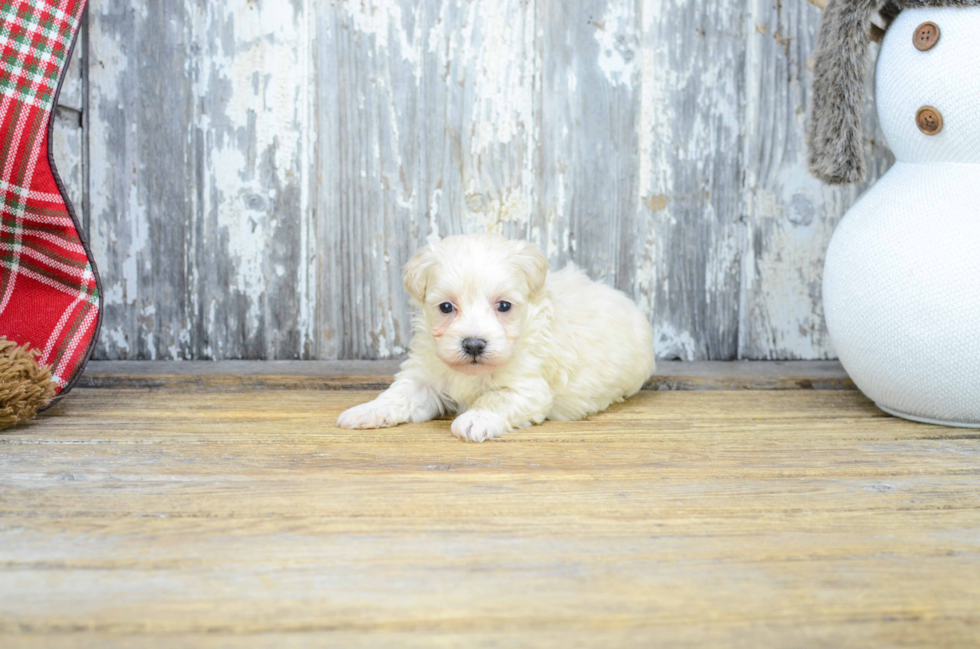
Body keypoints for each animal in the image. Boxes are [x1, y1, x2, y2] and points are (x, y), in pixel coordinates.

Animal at [338, 232, 660, 440]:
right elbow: (399, 395)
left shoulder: (526, 387)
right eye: (446, 307)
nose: (473, 345)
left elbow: (495, 399)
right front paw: (366, 411)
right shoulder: (424, 377)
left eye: (504, 306)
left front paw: (474, 419)